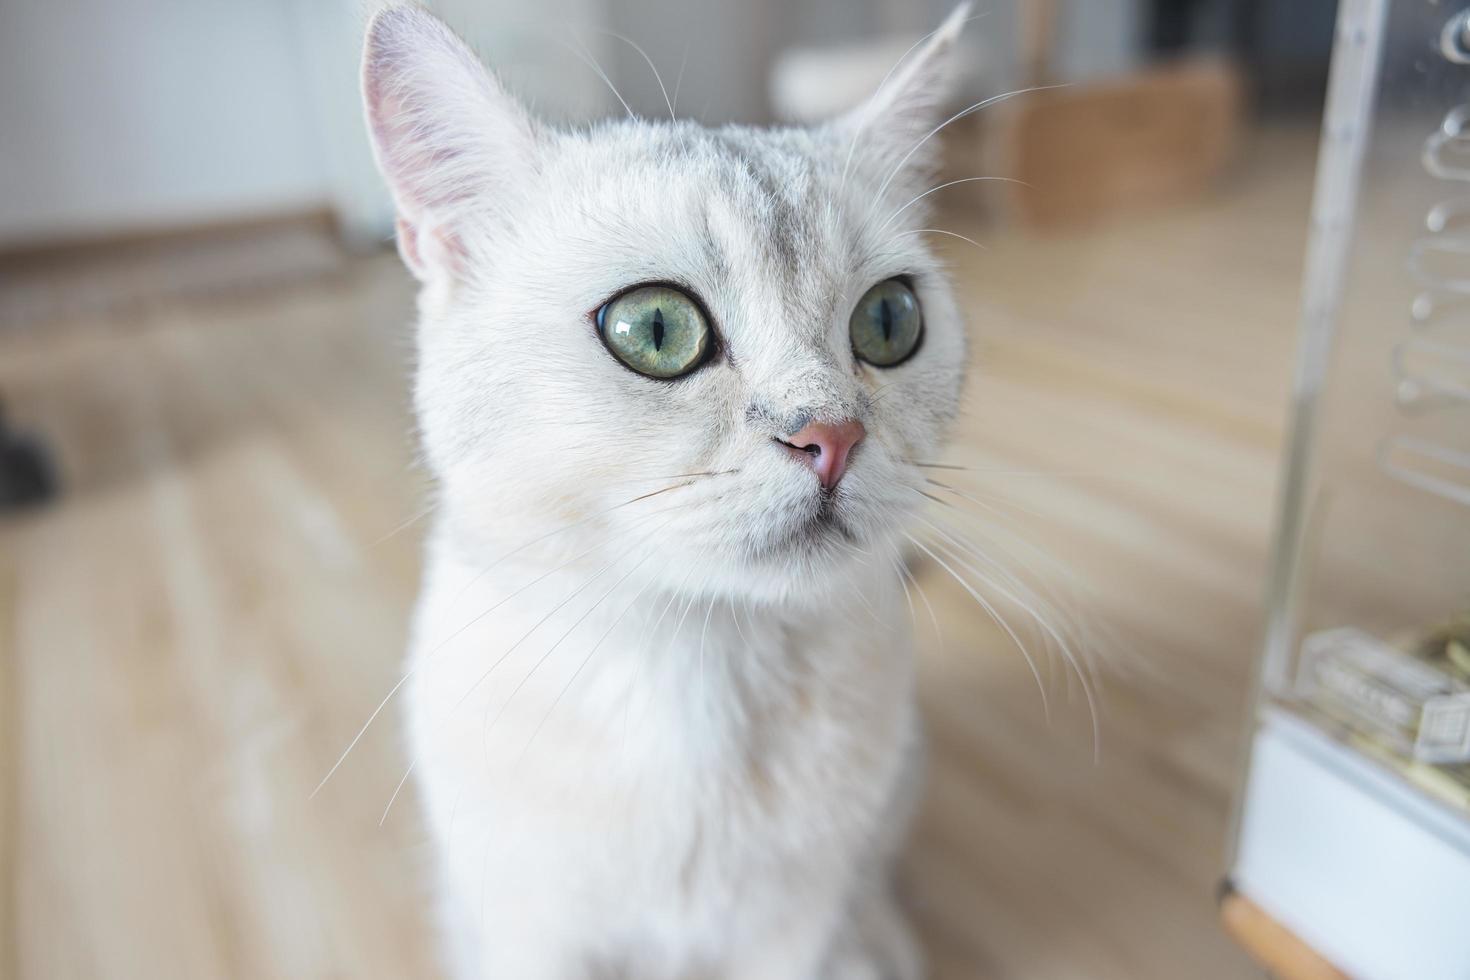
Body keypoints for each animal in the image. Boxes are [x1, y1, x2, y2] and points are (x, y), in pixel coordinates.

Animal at [361, 3, 970, 975]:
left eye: (889, 320)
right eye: (654, 328)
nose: (832, 437)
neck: (700, 673)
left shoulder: (788, 932)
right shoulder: (534, 935)